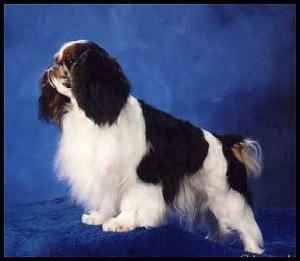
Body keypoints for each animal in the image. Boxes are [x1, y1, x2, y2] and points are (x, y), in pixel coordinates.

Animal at [38, 39, 264, 253]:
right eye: (56, 60)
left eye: (69, 62)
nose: (51, 67)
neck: (91, 114)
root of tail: (225, 141)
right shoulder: (107, 173)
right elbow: (108, 200)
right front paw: (100, 217)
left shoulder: (137, 177)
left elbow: (131, 202)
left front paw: (121, 223)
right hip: (208, 196)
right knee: (216, 222)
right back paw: (213, 240)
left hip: (226, 197)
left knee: (246, 226)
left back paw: (252, 250)